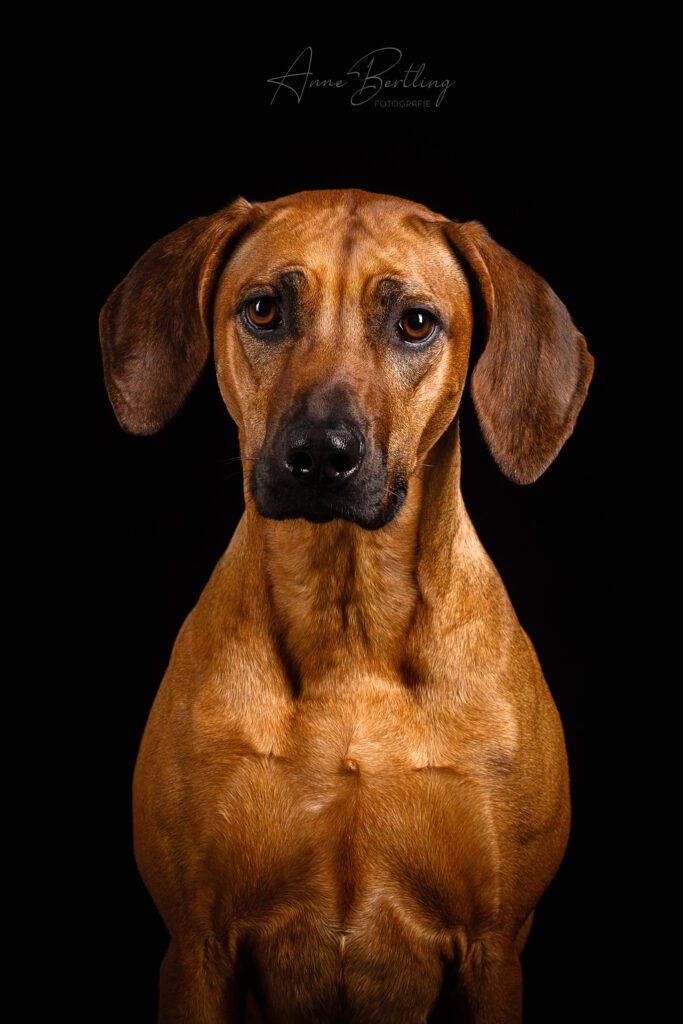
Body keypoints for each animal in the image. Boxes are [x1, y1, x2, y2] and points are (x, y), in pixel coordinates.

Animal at [98, 188, 593, 1019]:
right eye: (263, 309)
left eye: (415, 323)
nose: (321, 455)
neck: (348, 619)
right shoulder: (197, 947)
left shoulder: (493, 950)